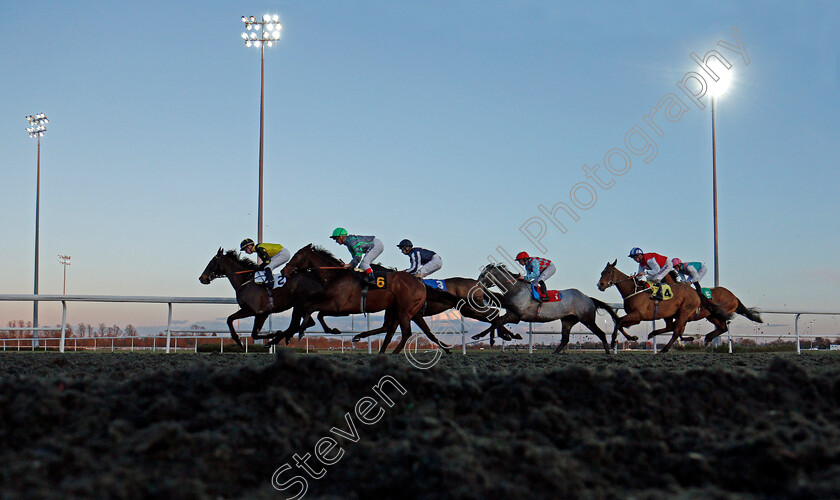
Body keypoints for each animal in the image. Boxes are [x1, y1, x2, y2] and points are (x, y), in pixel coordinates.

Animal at [280, 244, 436, 354]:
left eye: (297, 256)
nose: (283, 271)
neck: (335, 276)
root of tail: (420, 283)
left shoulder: (339, 307)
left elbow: (312, 309)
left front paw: (300, 332)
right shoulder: (339, 308)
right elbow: (319, 314)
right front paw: (333, 330)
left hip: (404, 310)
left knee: (406, 332)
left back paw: (393, 353)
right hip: (397, 309)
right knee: (391, 328)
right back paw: (361, 337)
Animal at [476, 264, 620, 354]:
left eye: (483, 275)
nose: (477, 284)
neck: (516, 289)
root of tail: (588, 298)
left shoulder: (516, 316)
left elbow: (498, 322)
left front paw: (507, 336)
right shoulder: (512, 314)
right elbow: (496, 322)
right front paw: (483, 336)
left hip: (587, 319)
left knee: (601, 333)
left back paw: (608, 353)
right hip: (567, 320)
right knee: (565, 338)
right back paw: (554, 353)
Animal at [592, 260, 732, 354]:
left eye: (609, 272)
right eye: (602, 272)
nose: (600, 285)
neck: (633, 290)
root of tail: (695, 293)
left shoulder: (638, 315)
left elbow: (619, 321)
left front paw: (613, 341)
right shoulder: (635, 317)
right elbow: (619, 322)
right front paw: (632, 337)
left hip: (684, 312)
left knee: (676, 330)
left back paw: (664, 349)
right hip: (675, 314)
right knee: (673, 327)